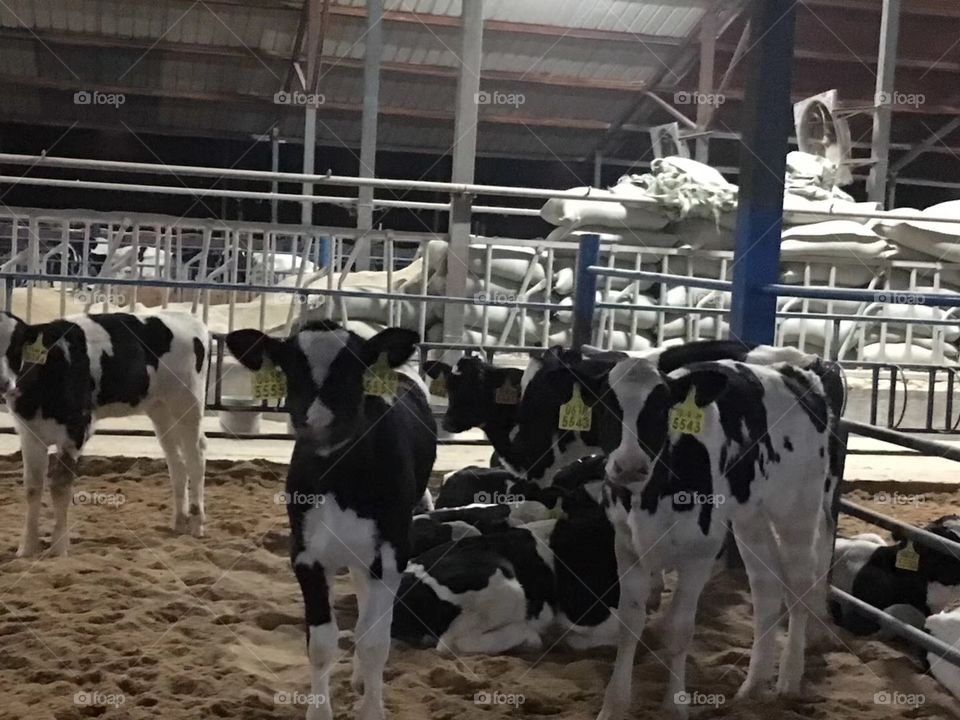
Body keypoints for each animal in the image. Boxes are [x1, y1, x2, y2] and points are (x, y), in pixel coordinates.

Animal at [0, 310, 209, 557]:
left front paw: (58, 548)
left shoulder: (75, 431)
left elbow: (60, 487)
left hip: (188, 405)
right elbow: (32, 487)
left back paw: (196, 524)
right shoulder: (30, 433)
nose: (3, 382)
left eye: (15, 345)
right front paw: (27, 549)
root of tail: (188, 317)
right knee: (176, 462)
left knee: (195, 457)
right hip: (160, 408)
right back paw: (179, 522)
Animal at [225, 321, 436, 720]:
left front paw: (372, 710)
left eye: (353, 370)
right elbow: (321, 643)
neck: (339, 480)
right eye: (290, 369)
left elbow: (374, 641)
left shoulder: (392, 552)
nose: (318, 424)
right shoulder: (305, 554)